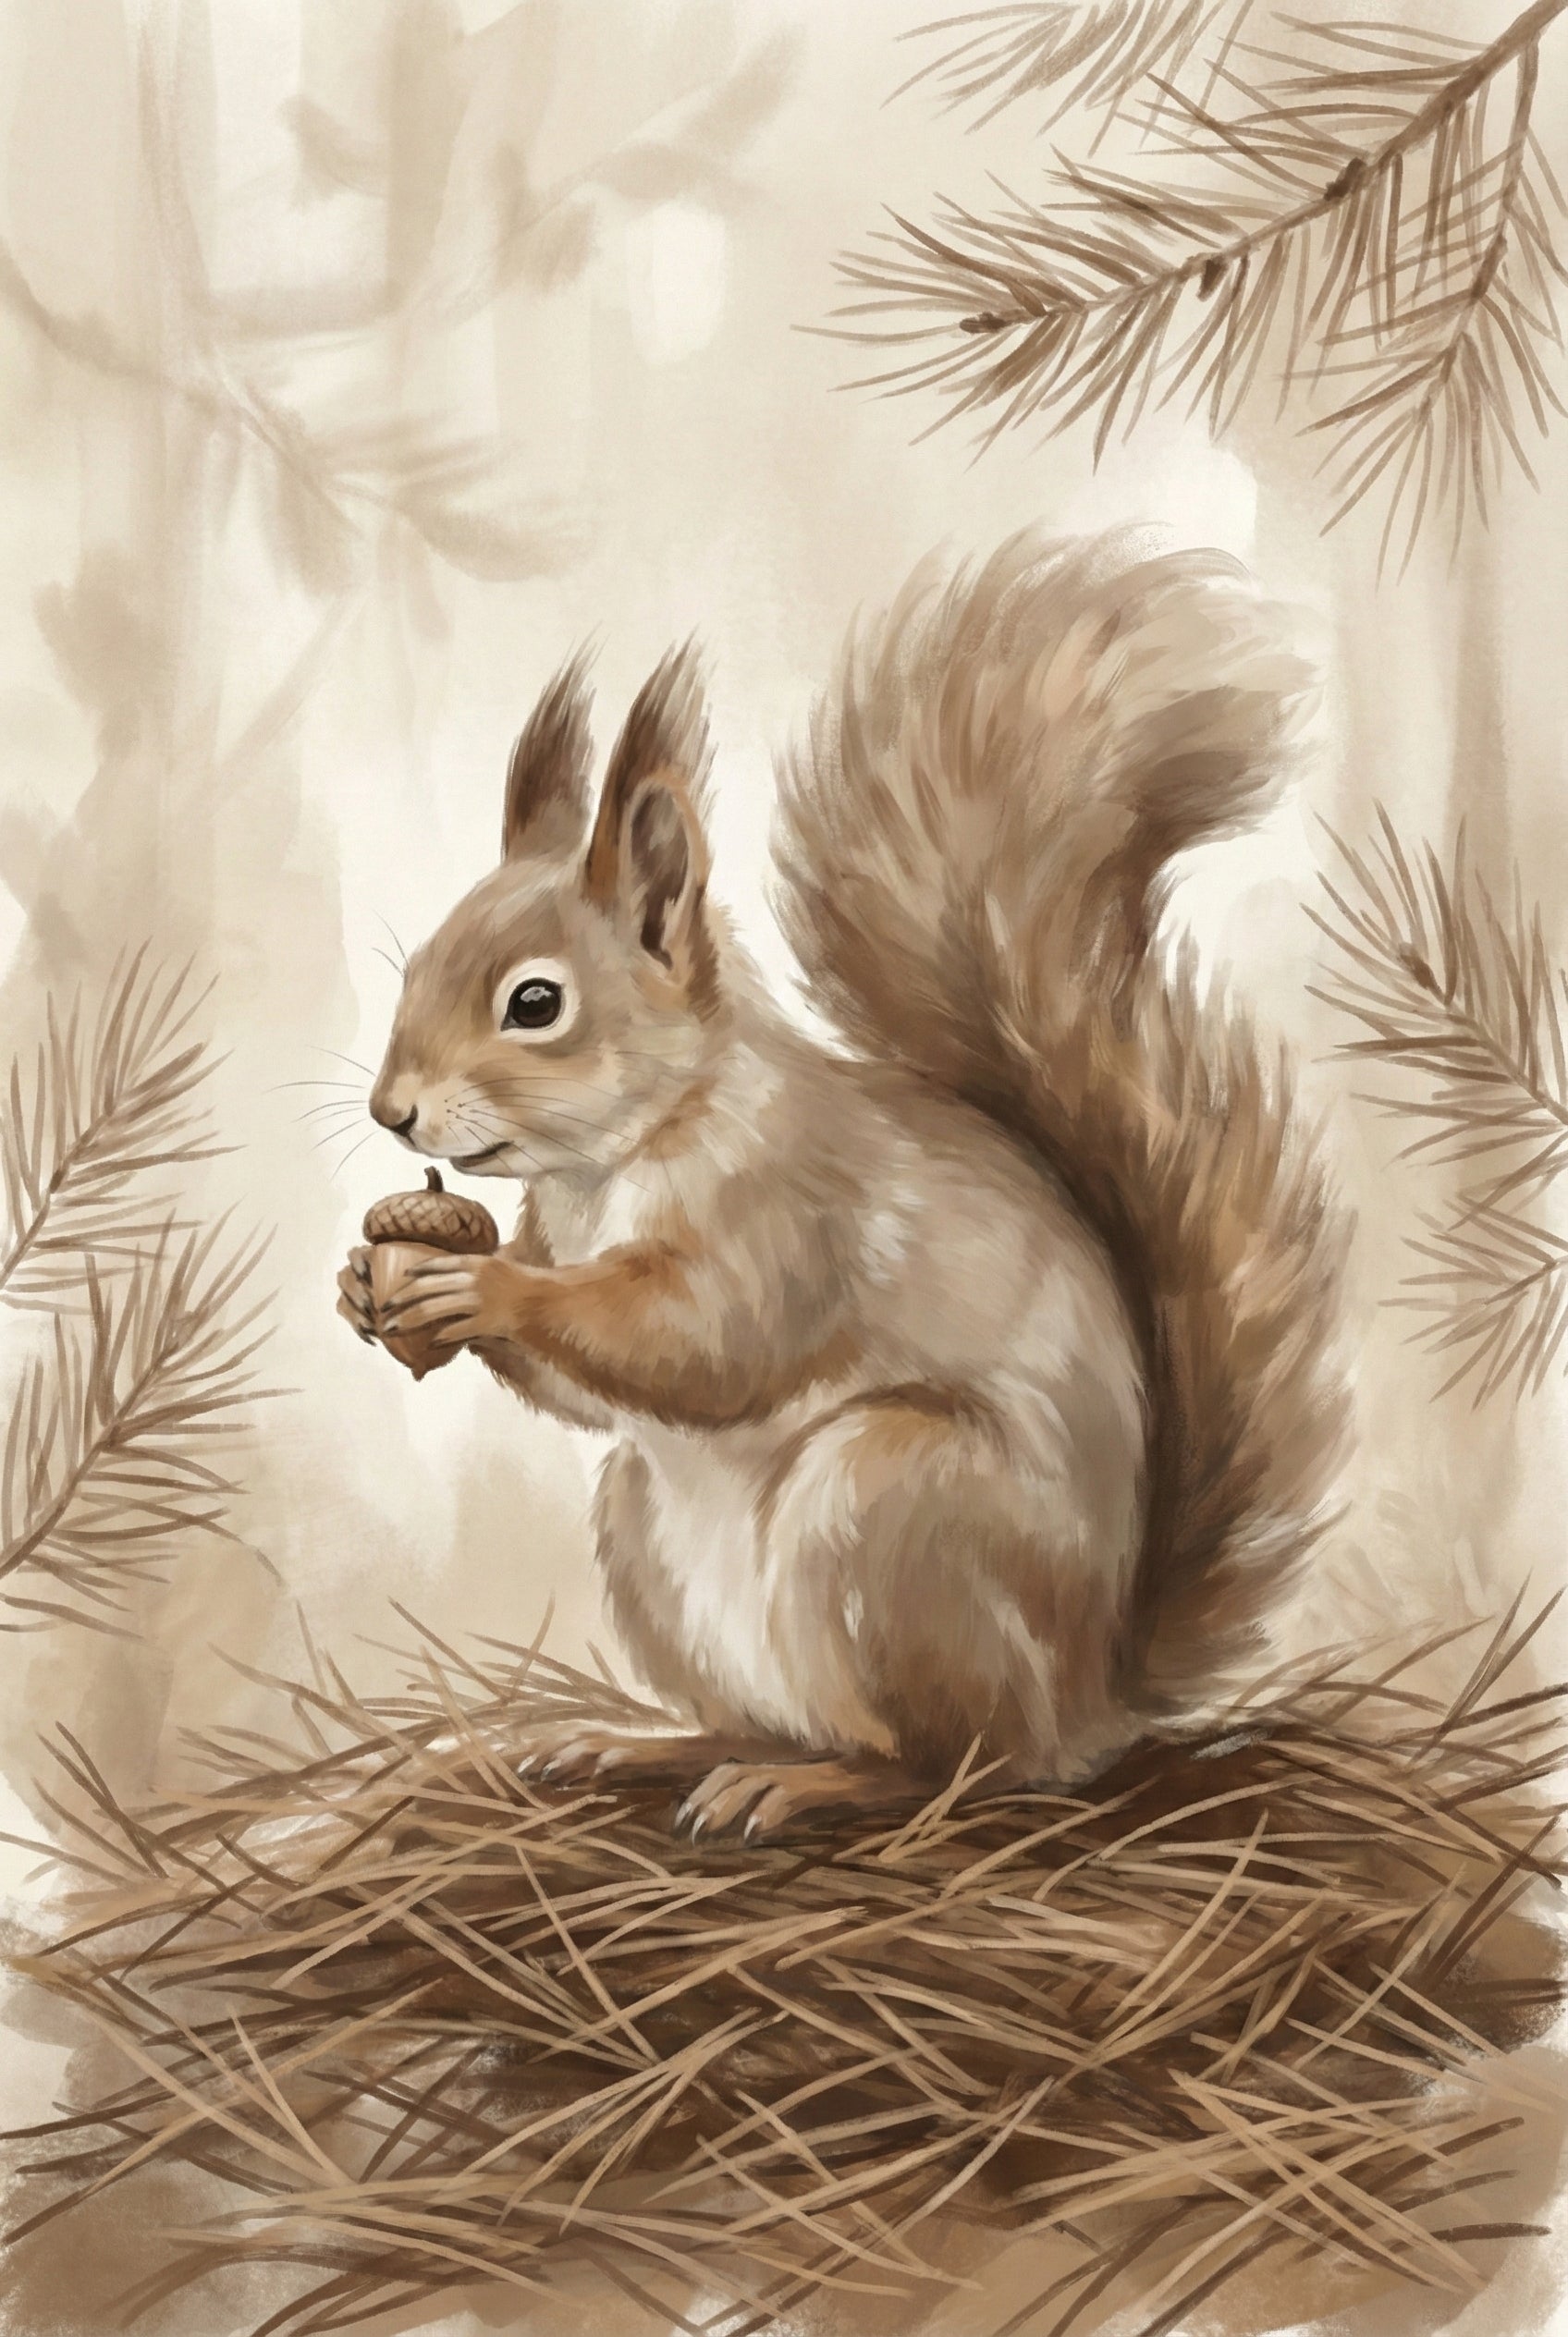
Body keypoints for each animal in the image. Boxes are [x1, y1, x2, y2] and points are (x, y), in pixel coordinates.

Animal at [339, 529, 1347, 1842]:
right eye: (417, 962)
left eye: (535, 1002)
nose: (391, 1109)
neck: (625, 1154)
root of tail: (1095, 1697)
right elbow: (591, 1396)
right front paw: (371, 1283)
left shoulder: (792, 1215)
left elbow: (707, 1340)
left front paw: (486, 1290)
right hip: (647, 1533)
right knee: (781, 1714)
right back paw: (652, 1747)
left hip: (890, 1510)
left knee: (961, 1765)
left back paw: (814, 1781)